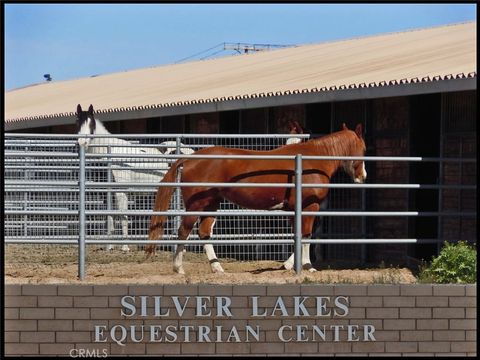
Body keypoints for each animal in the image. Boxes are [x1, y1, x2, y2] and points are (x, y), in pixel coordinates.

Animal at [76, 104, 194, 250]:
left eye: (91, 123)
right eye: (77, 121)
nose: (82, 142)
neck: (110, 152)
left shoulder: (122, 191)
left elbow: (123, 217)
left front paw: (125, 247)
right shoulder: (109, 193)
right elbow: (110, 218)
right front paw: (109, 247)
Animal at [146, 122, 368, 274]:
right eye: (364, 148)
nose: (362, 176)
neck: (314, 160)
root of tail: (190, 158)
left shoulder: (293, 209)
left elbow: (297, 235)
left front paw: (289, 265)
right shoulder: (309, 206)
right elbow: (306, 235)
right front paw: (307, 266)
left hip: (211, 204)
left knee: (204, 233)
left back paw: (218, 268)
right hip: (196, 205)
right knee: (183, 231)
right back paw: (179, 268)